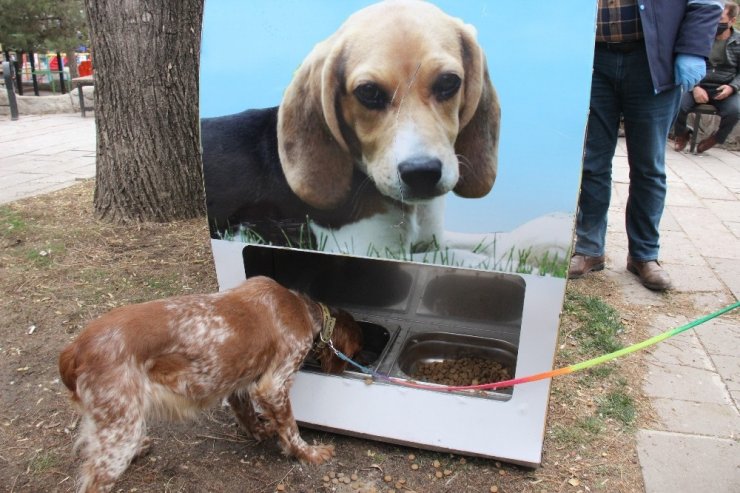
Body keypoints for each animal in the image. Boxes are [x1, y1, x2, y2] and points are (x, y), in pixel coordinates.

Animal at [59, 276, 362, 492]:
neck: (302, 308)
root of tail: (74, 349)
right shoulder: (274, 384)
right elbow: (290, 427)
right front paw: (309, 453)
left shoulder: (240, 382)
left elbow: (248, 415)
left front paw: (262, 431)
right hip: (121, 429)